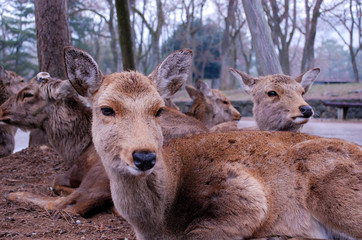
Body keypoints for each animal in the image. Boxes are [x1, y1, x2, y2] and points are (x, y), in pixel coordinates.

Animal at [0, 47, 208, 216]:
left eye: (27, 93)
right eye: (107, 109)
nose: (2, 109)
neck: (76, 147)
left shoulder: (77, 170)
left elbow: (56, 183)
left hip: (103, 169)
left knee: (68, 205)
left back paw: (15, 194)